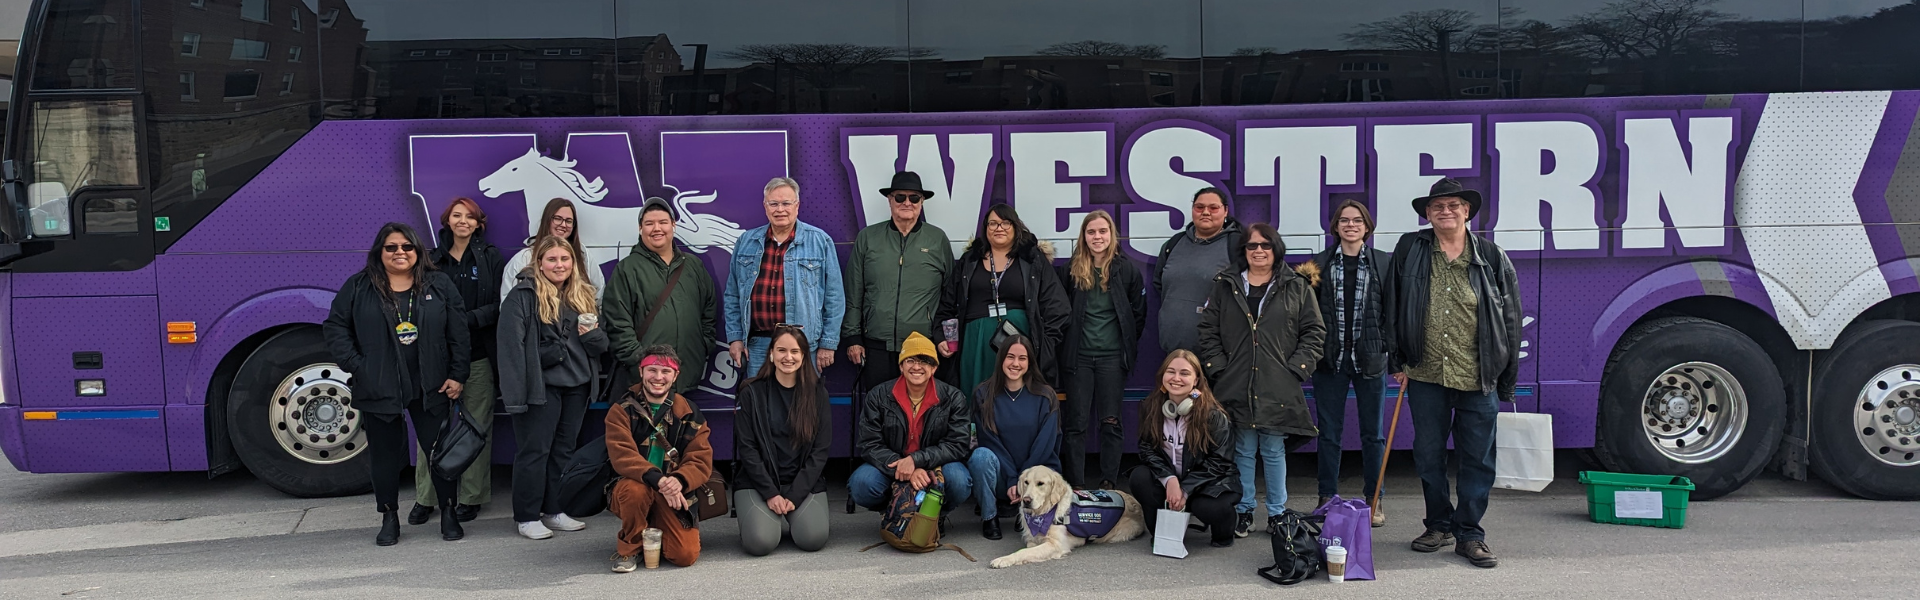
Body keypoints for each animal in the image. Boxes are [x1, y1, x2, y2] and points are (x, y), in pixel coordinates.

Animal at [990, 463, 1136, 565]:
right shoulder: (1032, 538)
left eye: (1040, 484)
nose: (1026, 500)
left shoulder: (1056, 544)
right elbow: (1029, 547)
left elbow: (1025, 551)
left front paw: (1003, 559)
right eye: (1026, 482)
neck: (1044, 513)